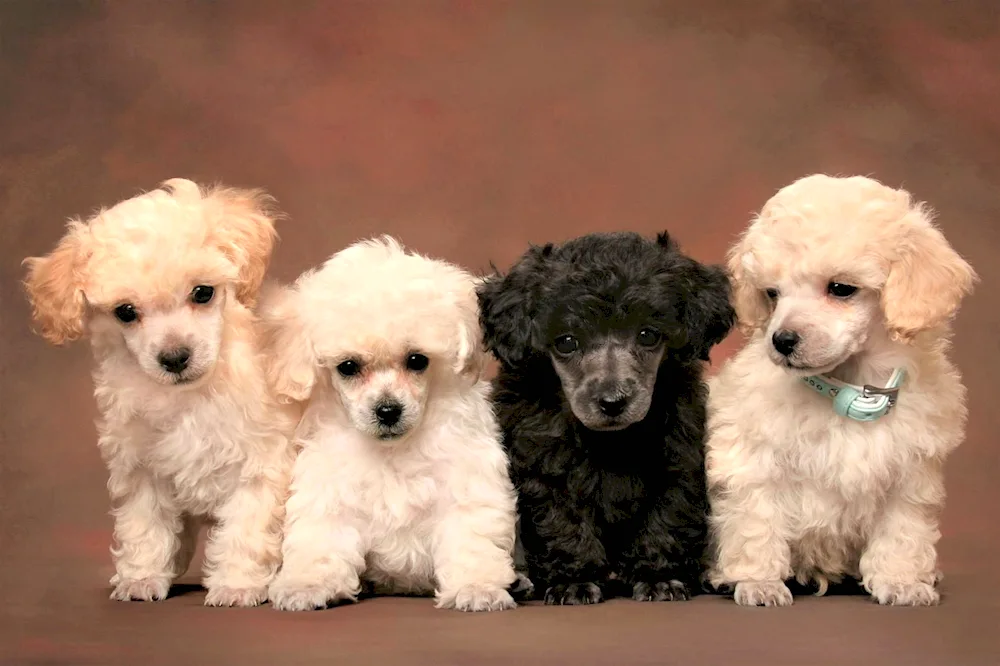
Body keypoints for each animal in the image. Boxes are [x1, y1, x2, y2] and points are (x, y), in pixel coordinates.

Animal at [23, 179, 294, 604]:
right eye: (125, 312)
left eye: (203, 293)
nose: (175, 357)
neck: (189, 398)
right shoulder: (141, 468)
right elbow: (144, 526)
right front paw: (142, 577)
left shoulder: (260, 465)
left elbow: (245, 530)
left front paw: (236, 584)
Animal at [262, 235, 520, 612]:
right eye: (348, 367)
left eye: (417, 360)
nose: (387, 410)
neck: (393, 450)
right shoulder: (329, 488)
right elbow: (321, 539)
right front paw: (307, 585)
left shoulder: (466, 482)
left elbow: (469, 538)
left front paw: (477, 587)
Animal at [478, 230, 736, 600]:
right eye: (566, 342)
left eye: (648, 335)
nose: (613, 402)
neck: (611, 441)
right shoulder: (544, 469)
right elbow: (563, 524)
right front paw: (574, 580)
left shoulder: (677, 463)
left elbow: (665, 519)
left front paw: (658, 577)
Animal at [712, 174, 976, 604]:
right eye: (772, 294)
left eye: (841, 288)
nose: (782, 340)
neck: (845, 385)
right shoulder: (754, 460)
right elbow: (756, 522)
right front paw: (758, 582)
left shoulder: (911, 474)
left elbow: (903, 531)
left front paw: (901, 581)